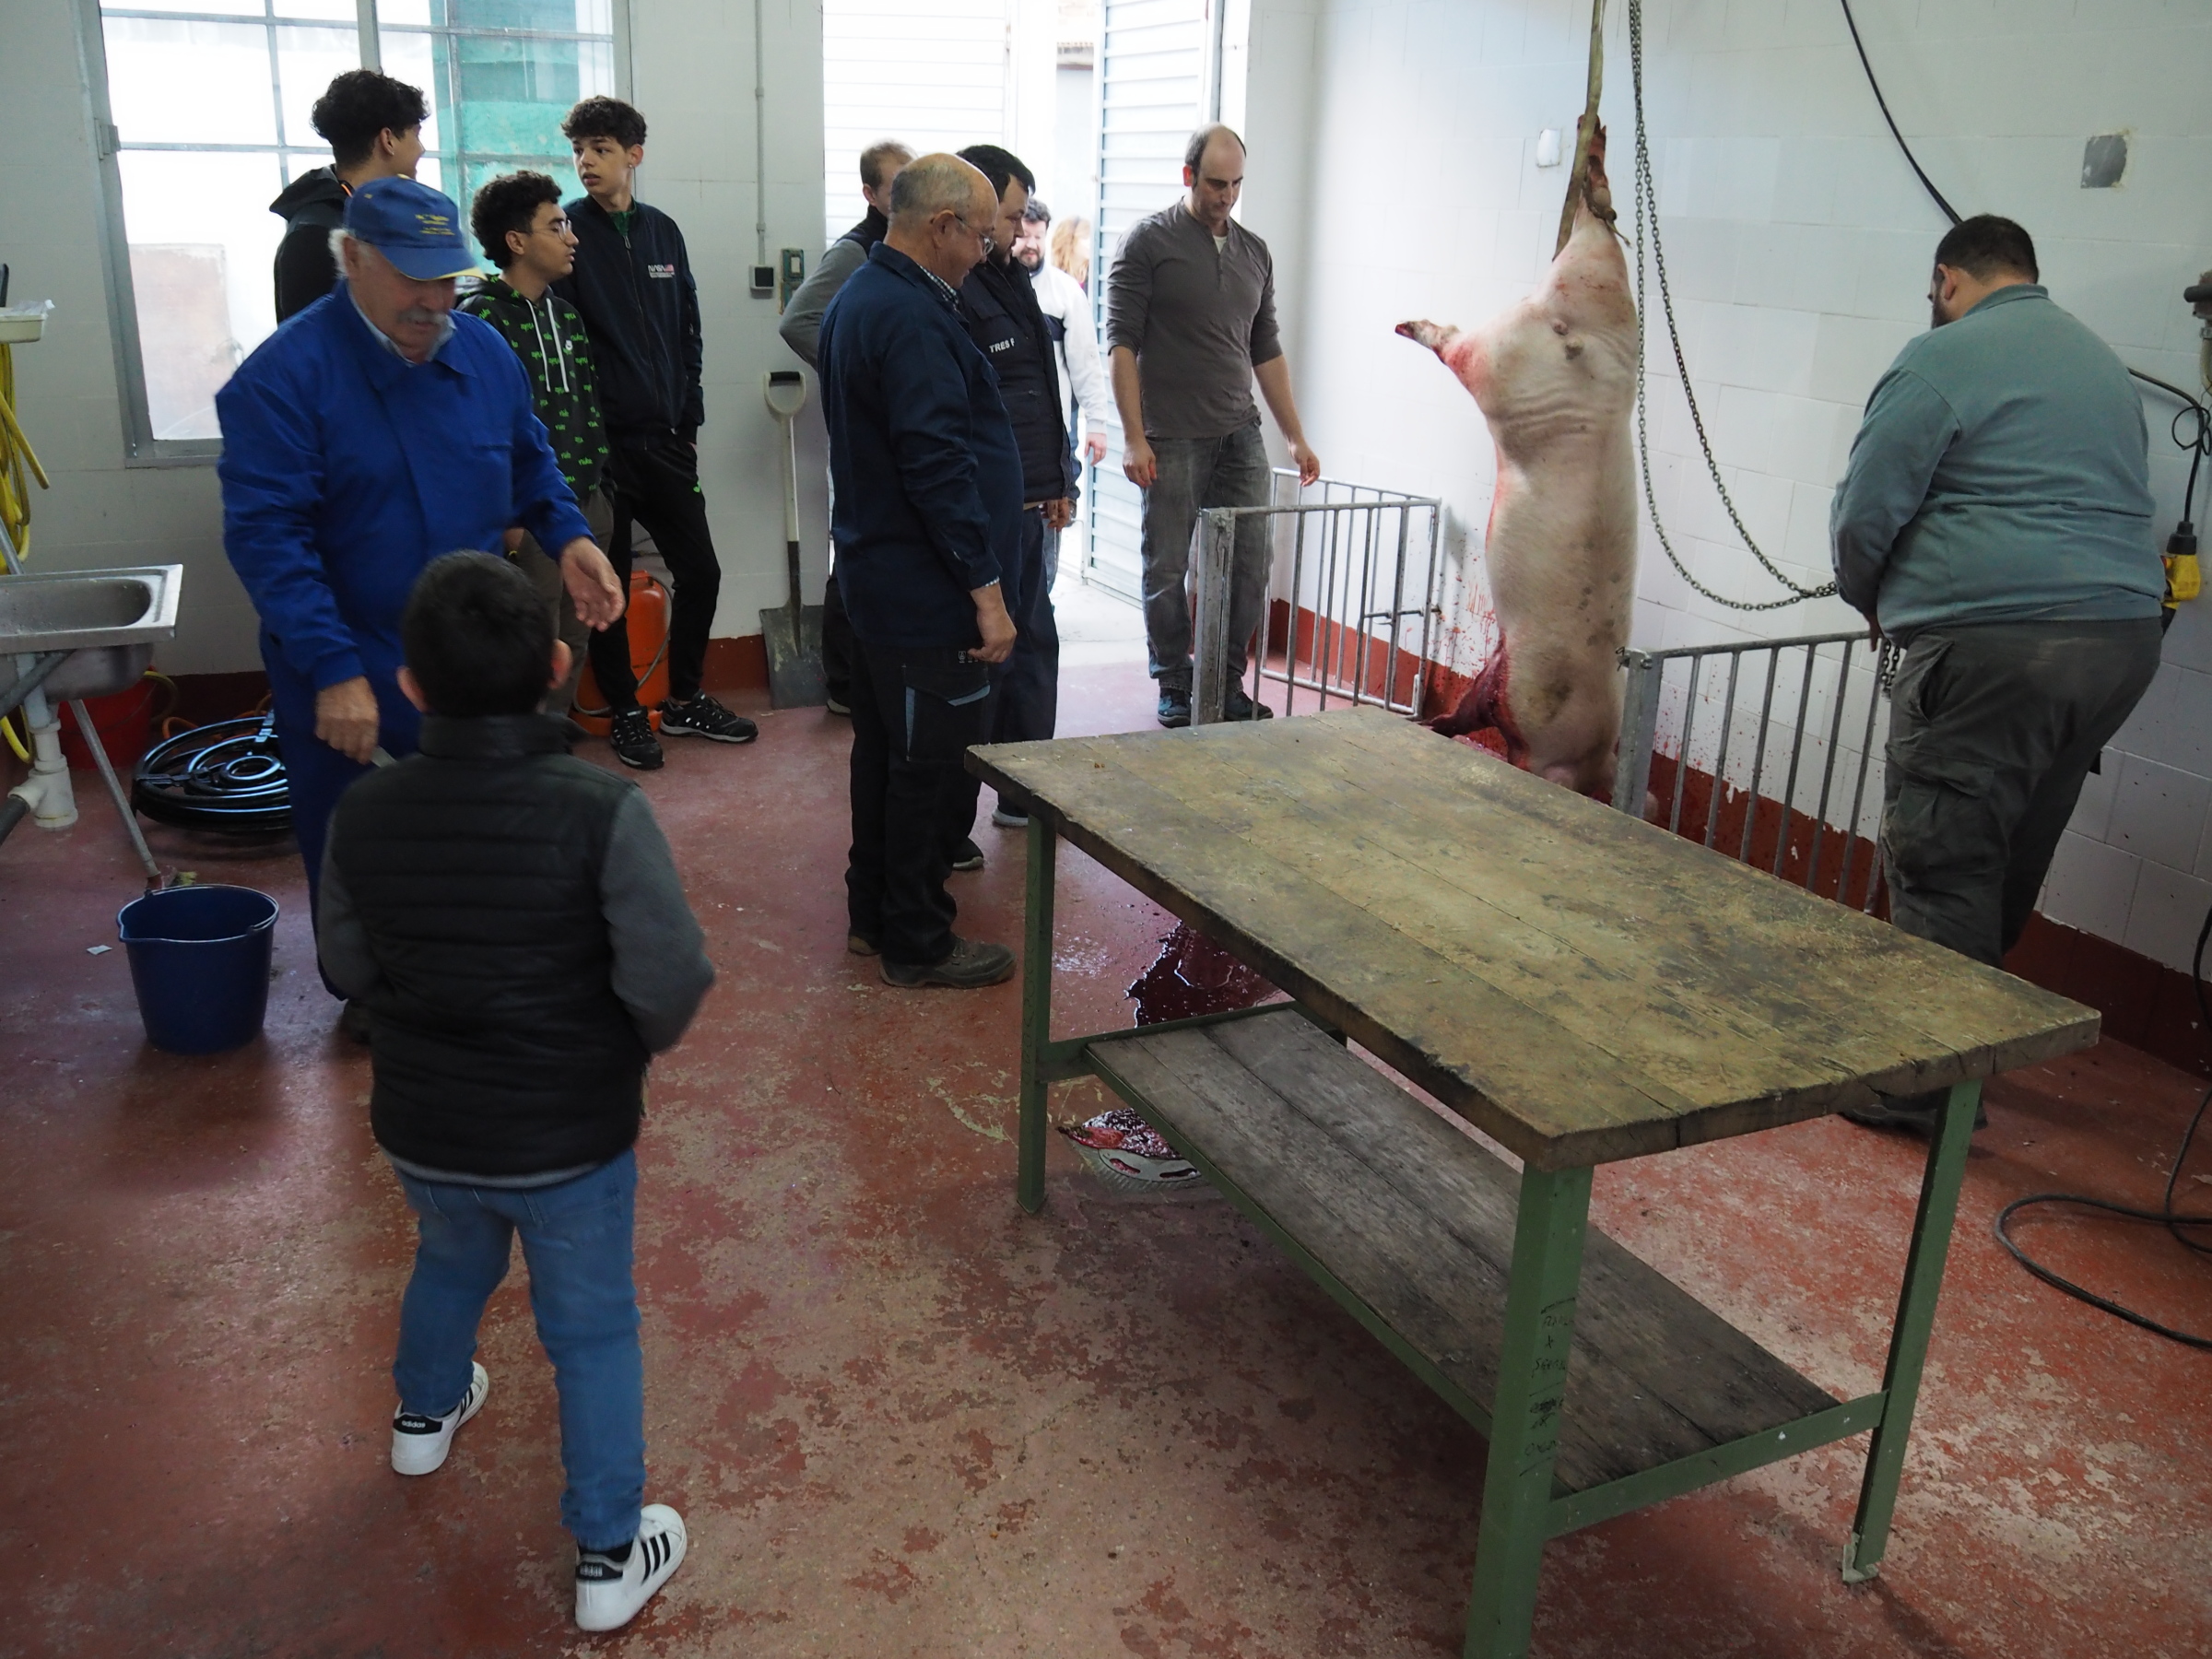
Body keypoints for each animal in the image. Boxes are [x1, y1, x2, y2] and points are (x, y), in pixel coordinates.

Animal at [1397, 124, 1639, 798]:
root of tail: (1576, 334)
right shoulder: (1520, 700)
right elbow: (1476, 709)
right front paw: (1434, 729)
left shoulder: (1500, 674)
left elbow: (1468, 704)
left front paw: (1432, 728)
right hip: (1507, 362)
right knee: (1458, 345)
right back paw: (1406, 325)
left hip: (1594, 310)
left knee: (1599, 227)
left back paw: (1595, 150)